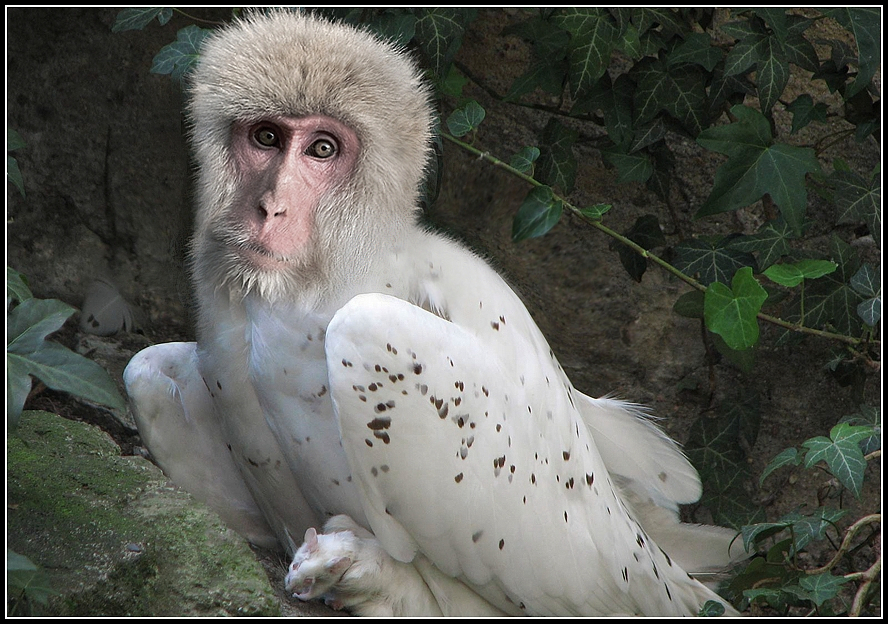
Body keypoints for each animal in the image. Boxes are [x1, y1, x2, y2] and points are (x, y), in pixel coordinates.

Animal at [125, 9, 744, 616]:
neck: (288, 297)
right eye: (266, 137)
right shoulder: (157, 374)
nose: (269, 206)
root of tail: (652, 548)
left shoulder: (374, 336)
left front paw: (356, 570)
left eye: (322, 150)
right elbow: (145, 369)